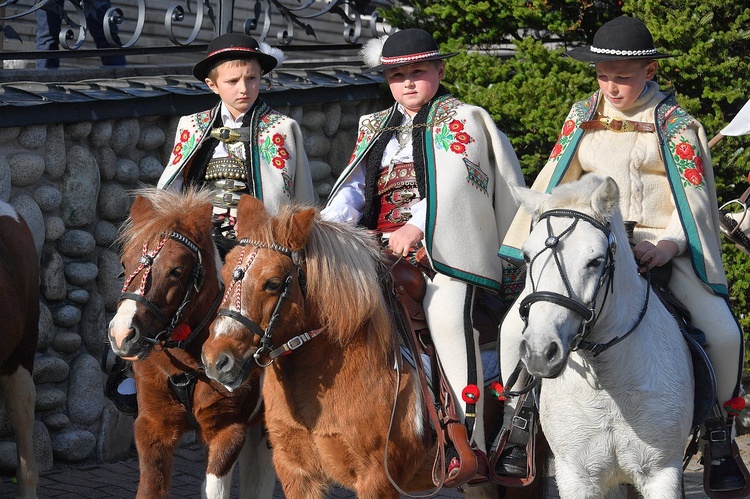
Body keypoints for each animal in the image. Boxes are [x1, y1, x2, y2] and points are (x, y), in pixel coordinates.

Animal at [108, 188, 276, 499]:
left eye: (176, 270)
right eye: (125, 263)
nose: (122, 334)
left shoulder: (228, 430)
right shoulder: (152, 426)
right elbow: (151, 488)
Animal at [516, 175, 696, 496]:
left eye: (595, 261)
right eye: (526, 256)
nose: (539, 352)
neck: (608, 382)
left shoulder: (662, 473)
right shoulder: (577, 477)